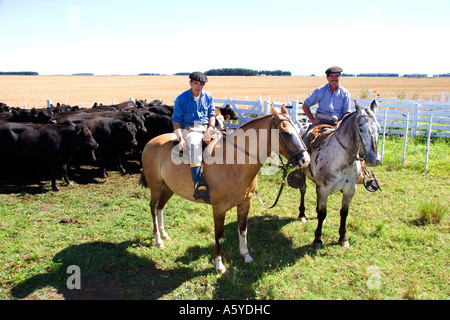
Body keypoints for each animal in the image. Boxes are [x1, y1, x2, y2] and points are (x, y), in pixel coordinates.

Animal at [139, 105, 312, 272]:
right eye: (285, 133)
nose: (305, 160)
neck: (234, 162)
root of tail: (151, 142)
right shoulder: (219, 208)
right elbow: (219, 235)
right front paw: (219, 264)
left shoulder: (245, 203)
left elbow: (243, 229)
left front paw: (246, 255)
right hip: (155, 186)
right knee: (153, 208)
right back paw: (158, 239)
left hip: (168, 187)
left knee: (160, 207)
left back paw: (164, 234)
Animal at [298, 100, 382, 250]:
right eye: (361, 129)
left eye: (378, 128)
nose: (374, 160)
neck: (342, 160)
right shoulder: (324, 189)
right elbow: (322, 213)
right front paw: (317, 239)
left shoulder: (350, 190)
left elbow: (344, 213)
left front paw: (343, 237)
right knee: (303, 190)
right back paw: (302, 214)